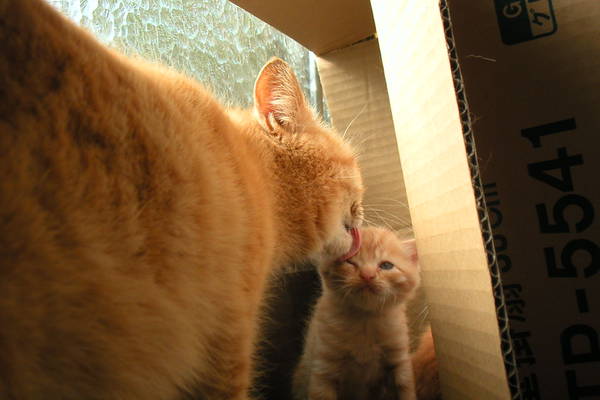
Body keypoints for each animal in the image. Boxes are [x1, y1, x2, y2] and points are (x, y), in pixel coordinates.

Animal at [292, 227, 420, 398]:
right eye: (350, 262)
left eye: (386, 265)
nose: (367, 275)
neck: (365, 319)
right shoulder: (323, 367)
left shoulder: (399, 360)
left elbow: (406, 392)